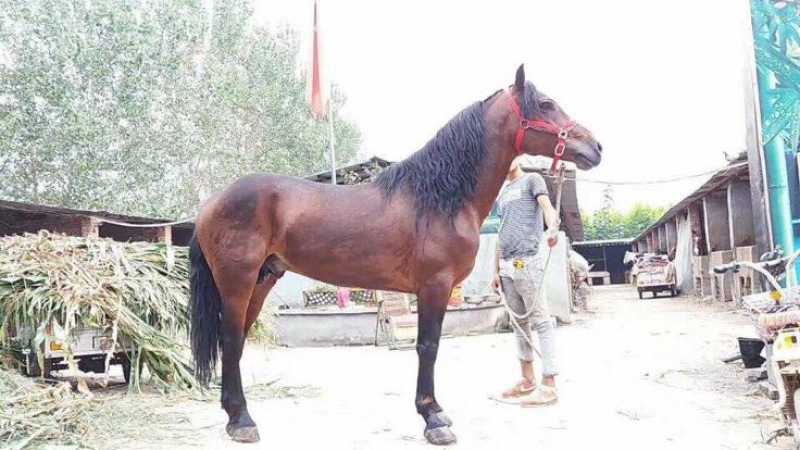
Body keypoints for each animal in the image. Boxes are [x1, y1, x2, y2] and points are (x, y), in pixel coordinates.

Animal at [188, 64, 602, 446]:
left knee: (237, 340)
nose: (595, 147)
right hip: (238, 283)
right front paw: (433, 418)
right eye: (546, 104)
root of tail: (210, 204)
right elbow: (428, 347)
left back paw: (236, 416)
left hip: (262, 281)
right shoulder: (434, 286)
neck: (439, 197)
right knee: (230, 340)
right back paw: (243, 422)